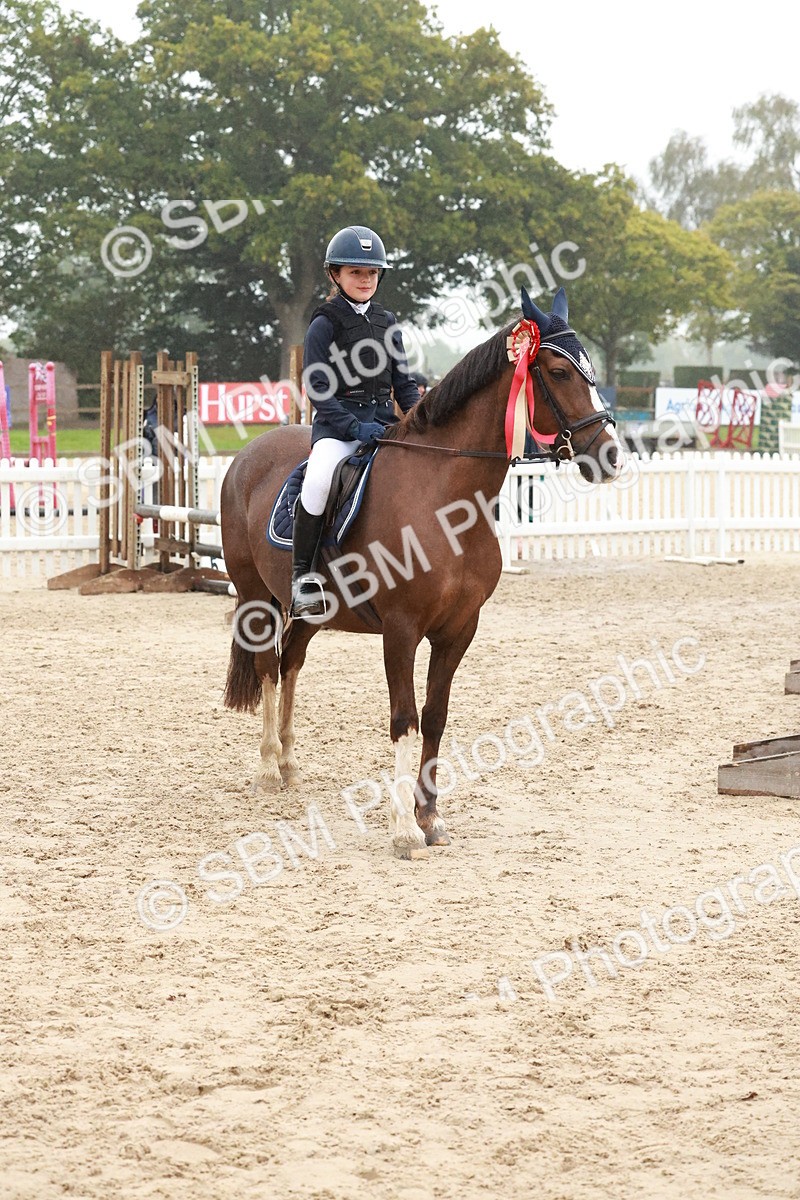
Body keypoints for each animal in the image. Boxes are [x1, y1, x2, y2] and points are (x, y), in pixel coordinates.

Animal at [220, 286, 623, 859]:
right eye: (561, 372)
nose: (609, 457)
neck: (446, 497)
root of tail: (248, 455)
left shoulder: (458, 629)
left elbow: (434, 716)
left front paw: (430, 817)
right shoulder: (401, 629)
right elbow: (403, 718)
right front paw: (404, 831)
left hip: (314, 613)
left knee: (291, 660)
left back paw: (290, 763)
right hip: (256, 596)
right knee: (267, 668)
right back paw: (268, 770)